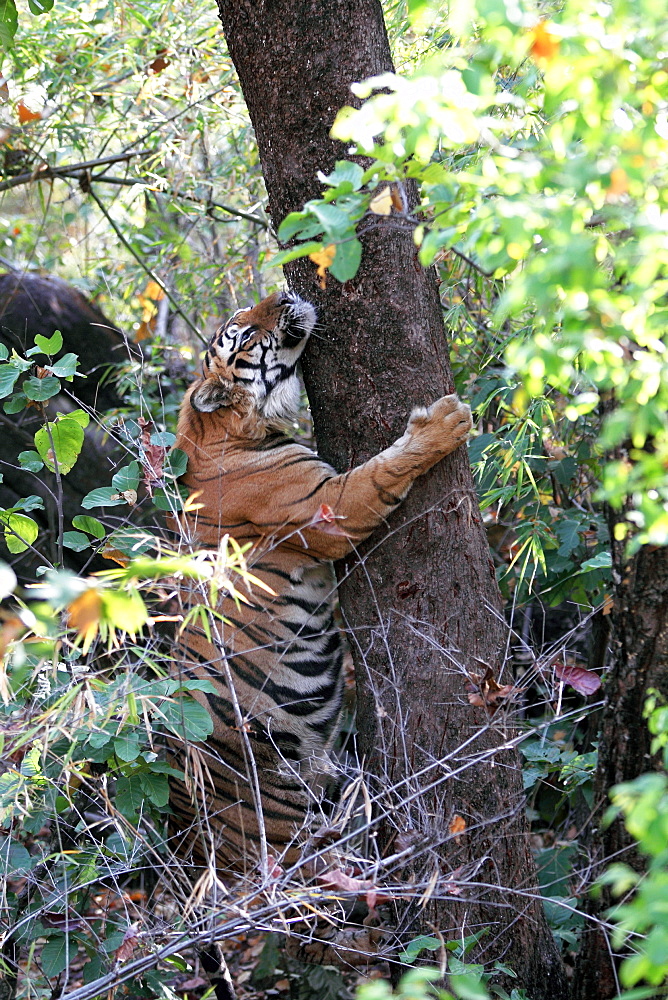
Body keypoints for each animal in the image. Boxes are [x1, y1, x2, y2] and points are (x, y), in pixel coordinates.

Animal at [167, 286, 470, 988]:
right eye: (241, 333)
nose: (284, 290)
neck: (229, 430)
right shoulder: (332, 506)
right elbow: (384, 468)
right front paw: (444, 421)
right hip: (301, 840)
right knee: (319, 924)